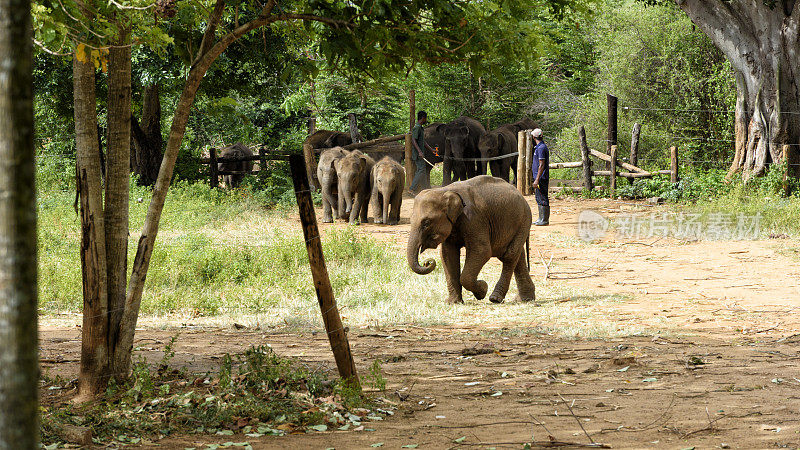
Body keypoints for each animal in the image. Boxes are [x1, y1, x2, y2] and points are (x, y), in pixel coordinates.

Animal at [406, 176, 536, 306]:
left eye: (426, 223)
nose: (427, 262)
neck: (445, 191)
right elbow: (448, 254)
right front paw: (453, 302)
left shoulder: (473, 219)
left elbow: (482, 251)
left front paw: (483, 289)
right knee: (518, 256)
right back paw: (524, 299)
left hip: (524, 221)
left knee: (509, 255)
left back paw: (495, 298)